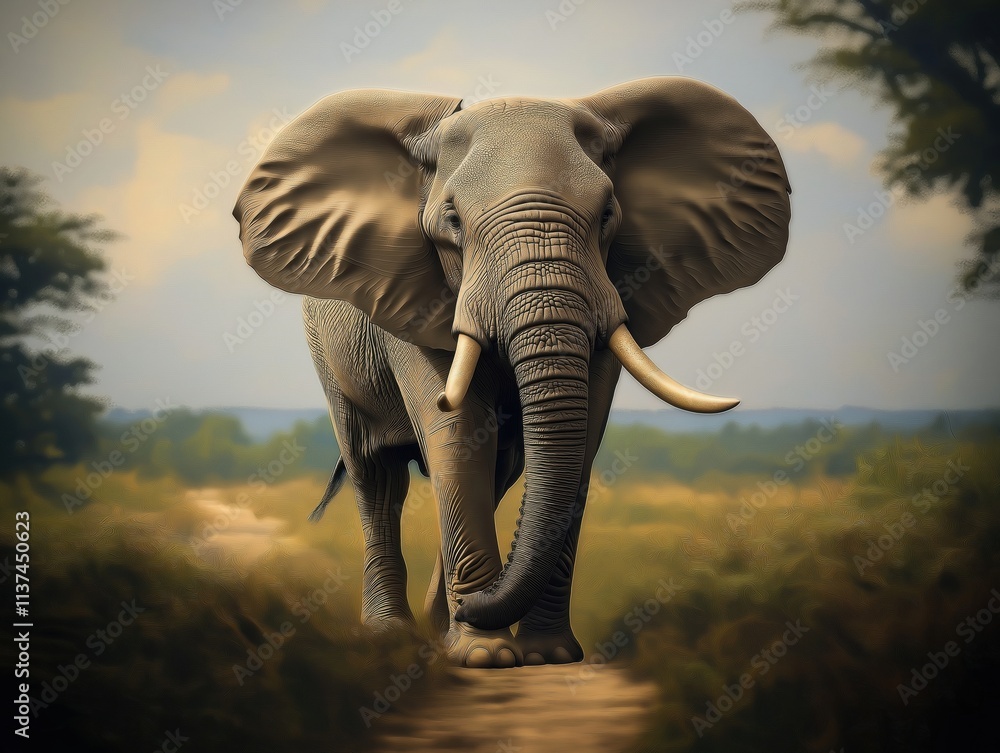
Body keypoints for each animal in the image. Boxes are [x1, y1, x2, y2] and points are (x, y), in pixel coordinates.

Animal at [233, 77, 791, 668]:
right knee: (376, 478)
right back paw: (395, 635)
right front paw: (485, 655)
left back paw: (438, 629)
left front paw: (545, 655)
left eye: (607, 215)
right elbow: (455, 434)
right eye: (453, 222)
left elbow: (580, 437)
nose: (472, 608)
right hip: (328, 357)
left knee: (497, 470)